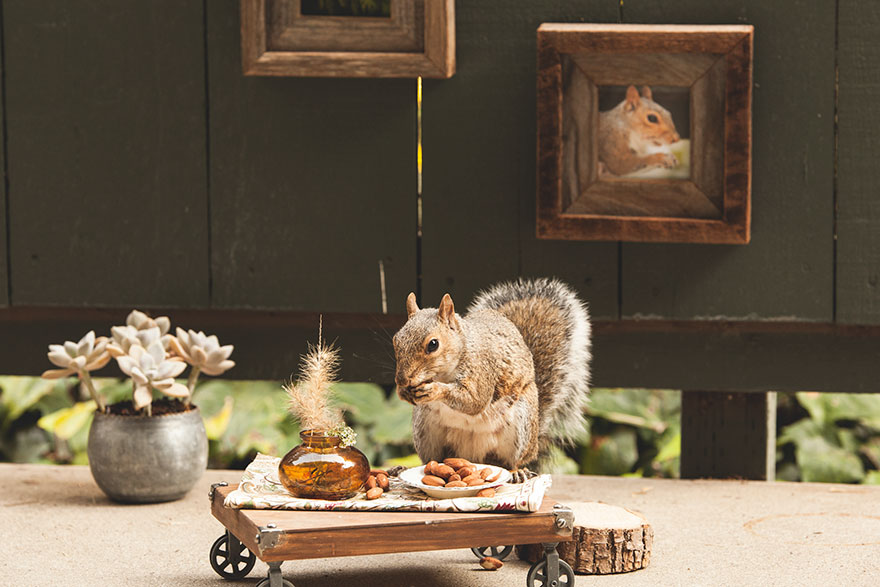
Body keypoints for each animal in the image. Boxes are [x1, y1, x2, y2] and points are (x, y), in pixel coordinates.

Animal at [392, 278, 591, 479]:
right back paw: (402, 469)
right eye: (395, 340)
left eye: (433, 344)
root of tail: (473, 456)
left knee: (512, 461)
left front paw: (435, 389)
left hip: (522, 425)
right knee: (431, 460)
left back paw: (517, 473)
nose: (402, 380)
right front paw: (403, 392)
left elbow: (474, 401)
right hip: (425, 429)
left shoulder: (483, 371)